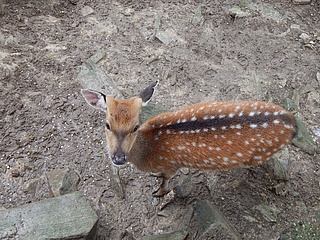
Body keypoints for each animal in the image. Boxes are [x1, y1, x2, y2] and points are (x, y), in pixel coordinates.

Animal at [81, 81, 296, 196]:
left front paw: (159, 193)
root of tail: (292, 121)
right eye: (107, 124)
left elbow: (166, 180)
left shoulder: (172, 165)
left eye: (135, 126)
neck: (148, 154)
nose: (118, 158)